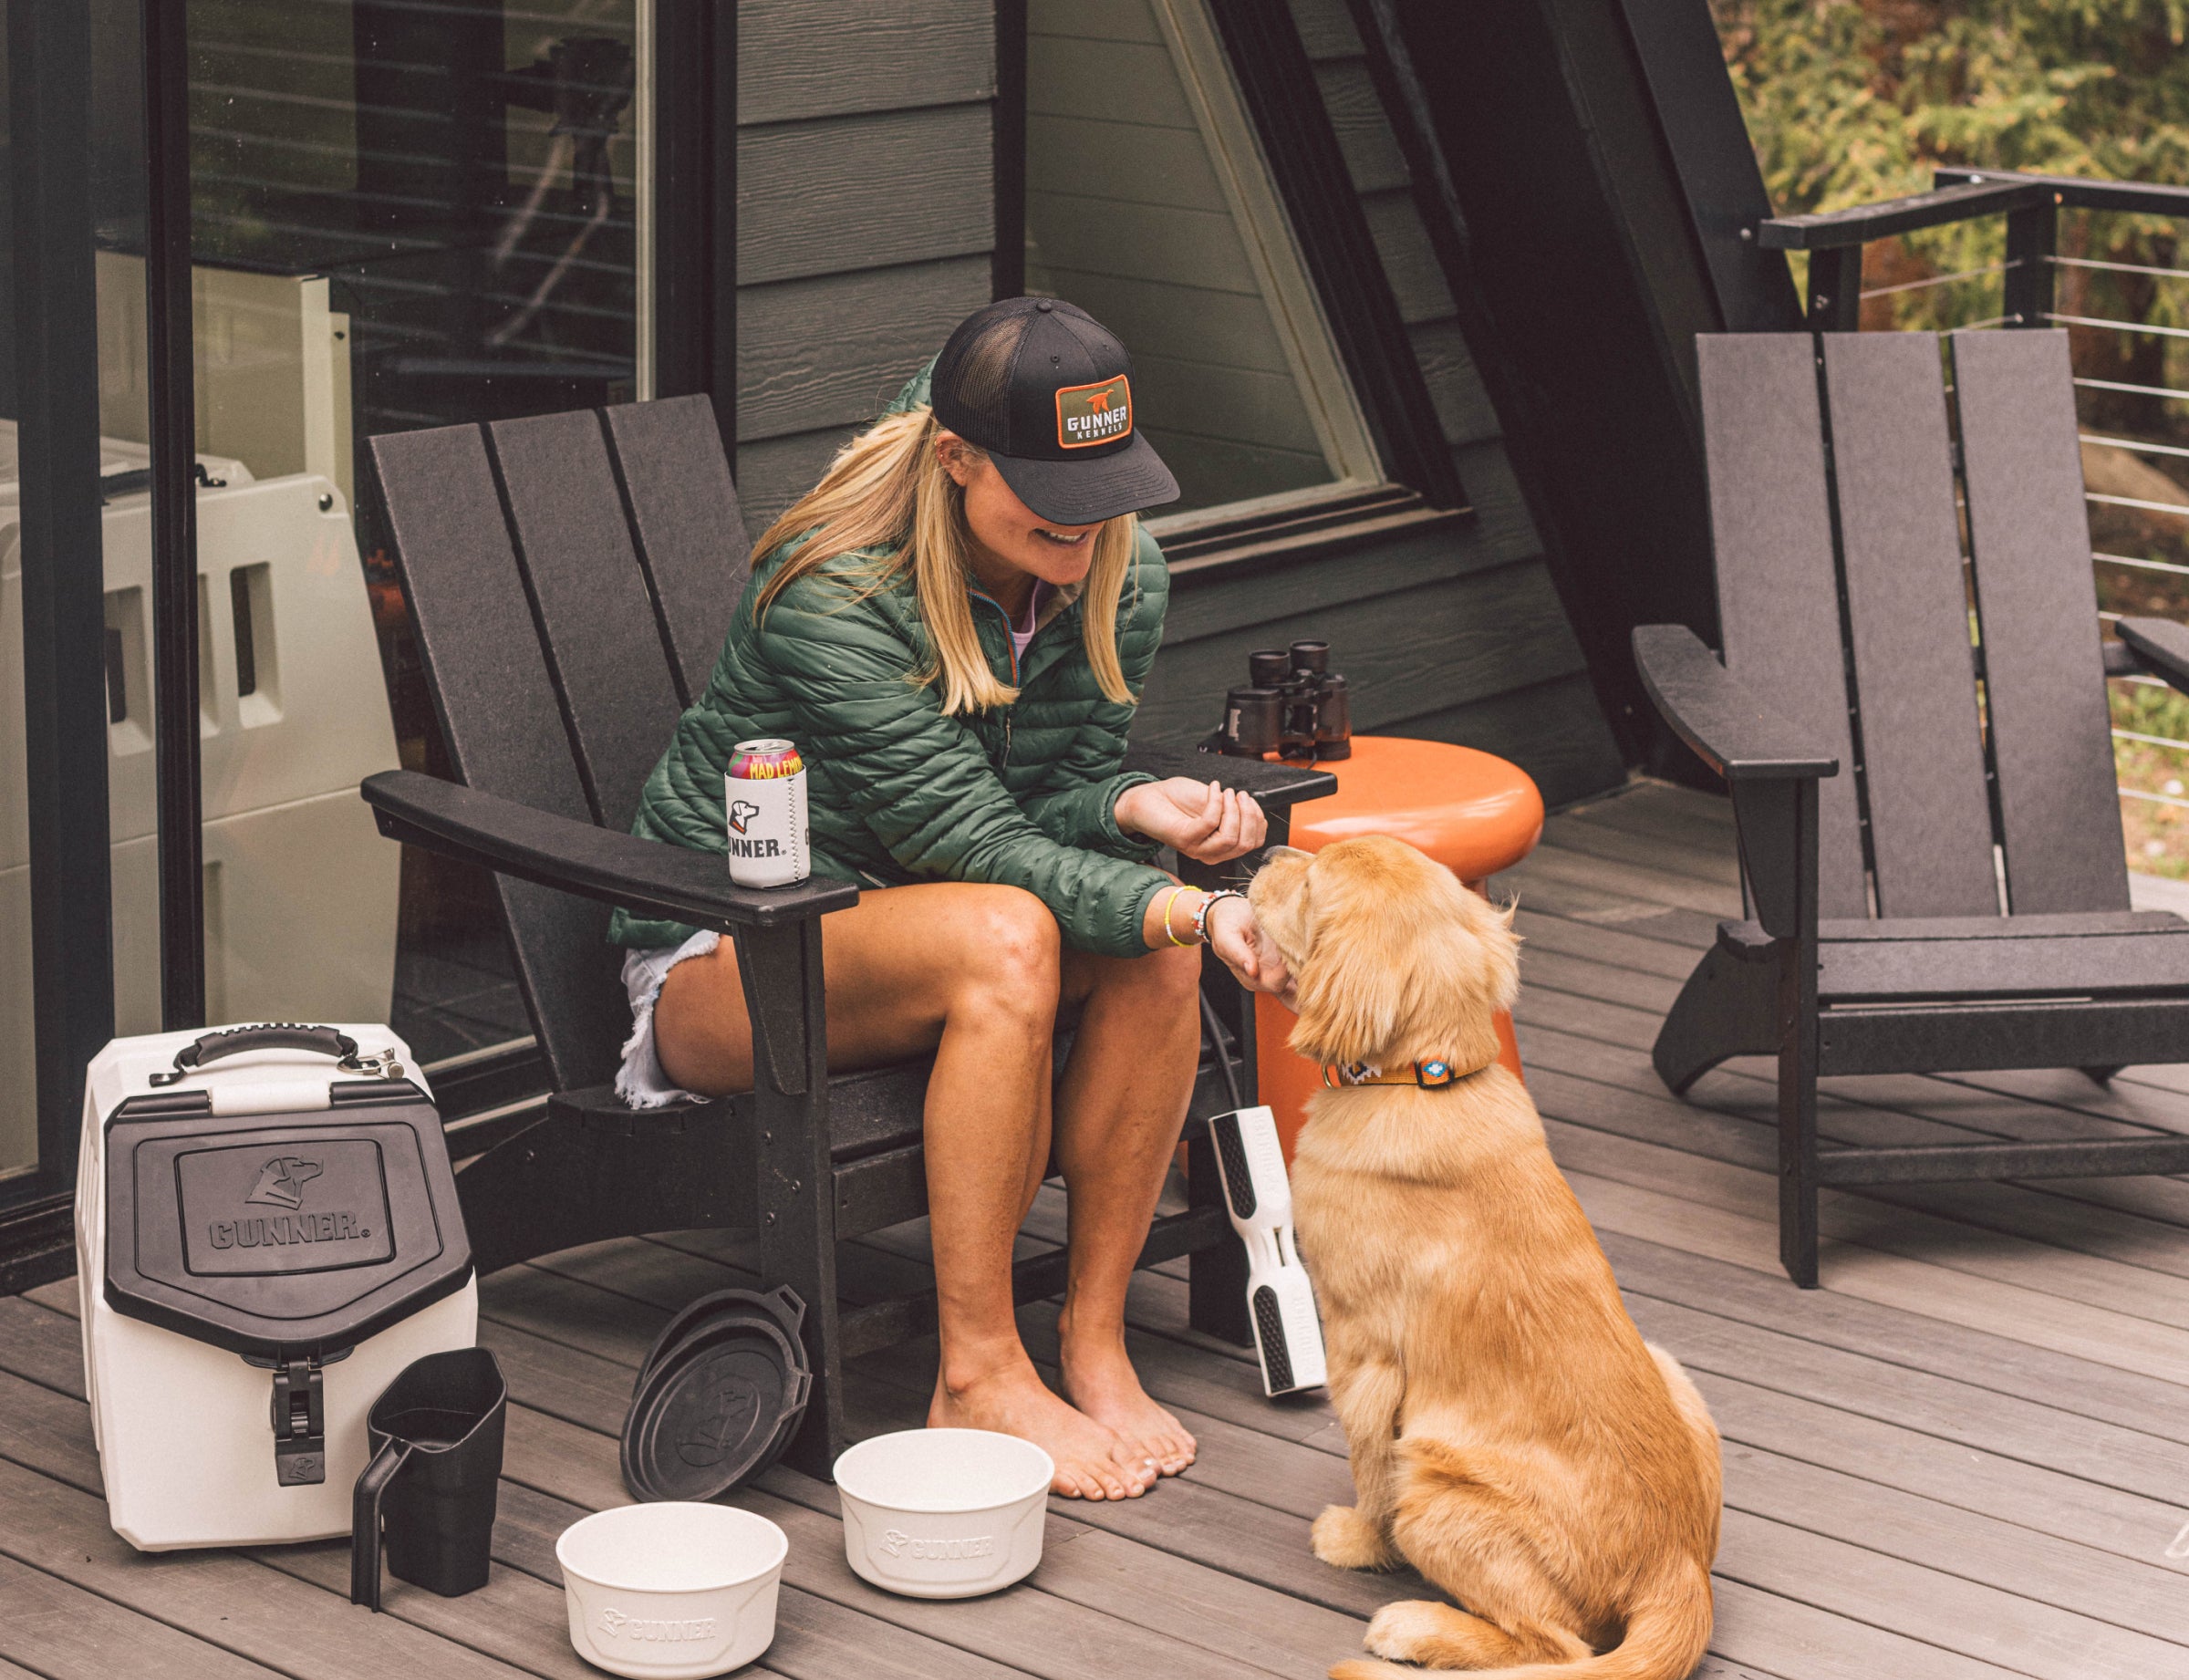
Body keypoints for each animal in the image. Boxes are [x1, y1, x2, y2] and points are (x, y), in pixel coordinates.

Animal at [1251, 831, 1725, 1671]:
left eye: (1311, 884)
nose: (1273, 846)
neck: (1423, 1081)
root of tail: (1676, 1570)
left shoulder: (1363, 1353)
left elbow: (1365, 1464)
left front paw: (1355, 1540)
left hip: (1434, 1484)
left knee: (1554, 1647)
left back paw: (1412, 1625)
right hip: (1672, 1369)